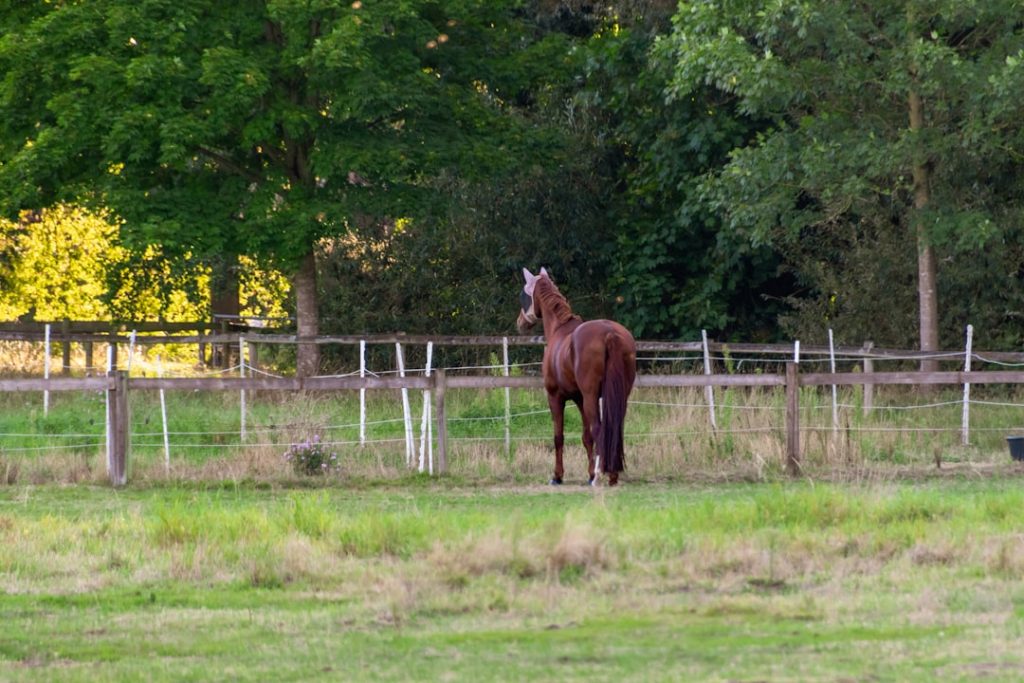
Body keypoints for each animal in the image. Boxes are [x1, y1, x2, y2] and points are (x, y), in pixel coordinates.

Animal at [516, 267, 637, 486]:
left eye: (524, 295)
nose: (520, 323)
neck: (559, 328)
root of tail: (610, 333)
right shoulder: (579, 399)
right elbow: (585, 437)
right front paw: (588, 473)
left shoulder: (556, 397)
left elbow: (559, 437)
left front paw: (557, 476)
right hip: (619, 395)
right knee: (615, 429)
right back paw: (612, 474)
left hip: (591, 397)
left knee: (599, 429)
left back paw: (600, 475)